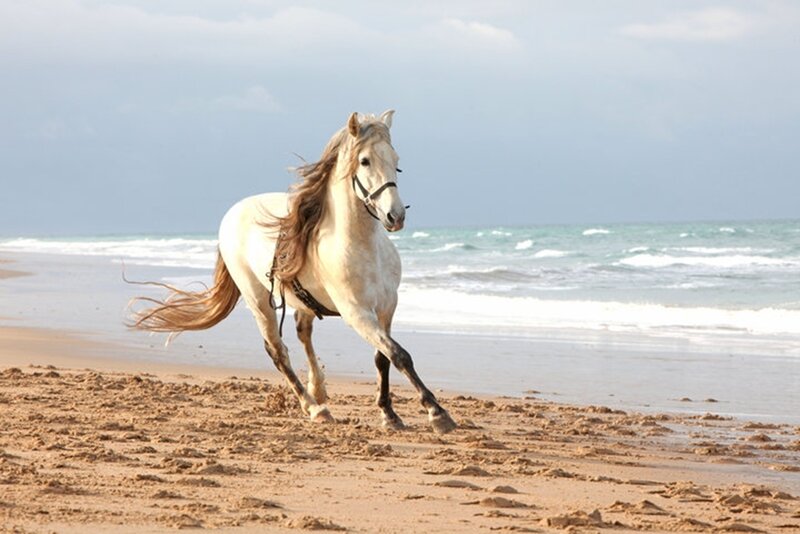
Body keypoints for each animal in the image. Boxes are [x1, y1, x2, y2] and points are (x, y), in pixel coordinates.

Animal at [130, 110, 457, 434]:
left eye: (396, 159)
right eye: (364, 161)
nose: (395, 216)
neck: (362, 246)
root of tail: (231, 214)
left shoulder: (387, 308)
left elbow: (384, 358)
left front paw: (389, 414)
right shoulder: (357, 314)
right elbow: (399, 354)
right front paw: (437, 413)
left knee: (303, 332)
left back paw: (318, 389)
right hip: (258, 301)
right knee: (278, 350)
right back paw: (314, 407)